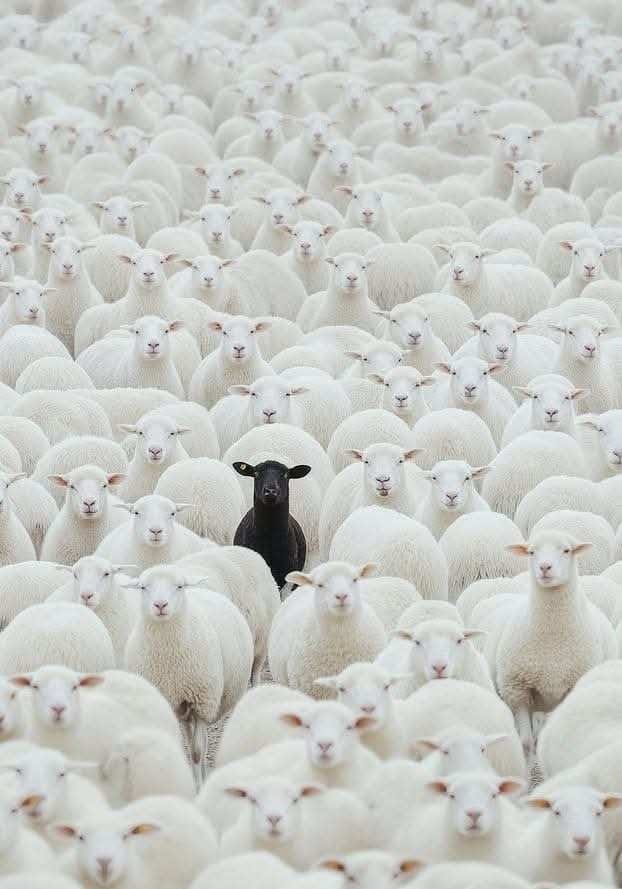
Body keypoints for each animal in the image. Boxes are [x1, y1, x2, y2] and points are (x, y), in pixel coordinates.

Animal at [124, 564, 253, 773]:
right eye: (143, 587)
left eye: (179, 586)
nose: (160, 605)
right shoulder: (172, 703)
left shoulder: (202, 703)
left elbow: (197, 752)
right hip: (183, 709)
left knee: (203, 744)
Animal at [496, 531, 617, 756]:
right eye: (531, 552)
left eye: (567, 550)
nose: (545, 567)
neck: (552, 639)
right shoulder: (517, 689)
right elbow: (526, 742)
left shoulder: (571, 686)